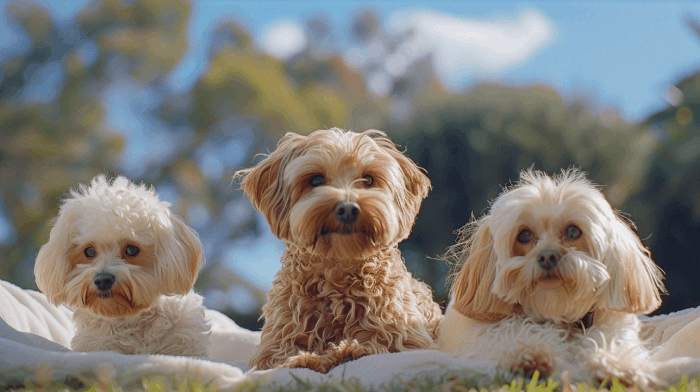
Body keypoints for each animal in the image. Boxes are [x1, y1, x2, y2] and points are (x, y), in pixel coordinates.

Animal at [235, 127, 442, 372]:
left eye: (368, 179)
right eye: (316, 179)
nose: (347, 208)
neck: (338, 267)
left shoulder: (408, 339)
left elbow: (377, 344)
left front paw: (346, 350)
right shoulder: (272, 348)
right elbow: (283, 357)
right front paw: (307, 358)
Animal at [438, 169, 668, 388]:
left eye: (573, 231)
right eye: (524, 235)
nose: (548, 256)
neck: (557, 313)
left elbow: (611, 344)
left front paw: (618, 366)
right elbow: (515, 335)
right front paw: (529, 354)